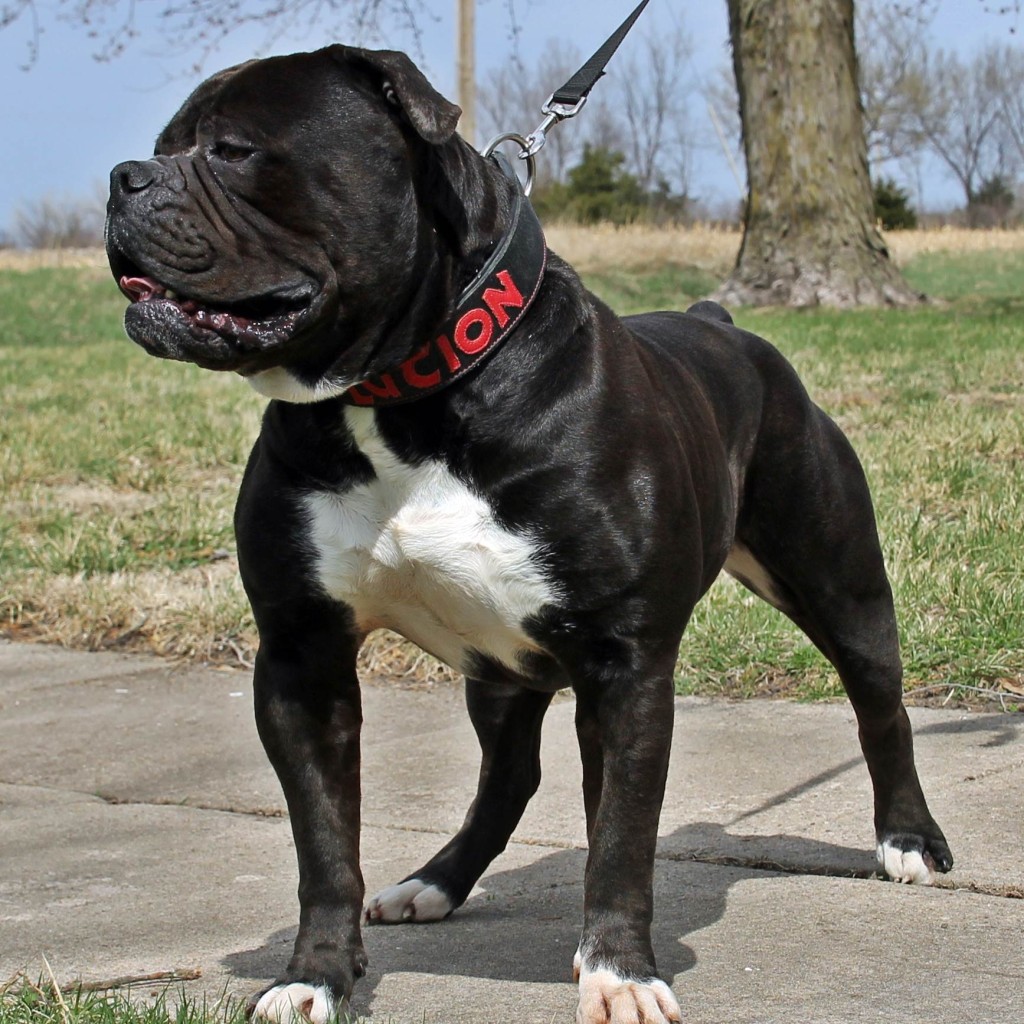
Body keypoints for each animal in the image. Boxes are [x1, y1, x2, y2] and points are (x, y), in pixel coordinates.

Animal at [103, 41, 950, 1024]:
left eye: (235, 151)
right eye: (166, 144)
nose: (123, 177)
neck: (401, 396)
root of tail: (721, 324)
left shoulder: (624, 667)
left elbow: (620, 838)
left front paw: (620, 973)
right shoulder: (301, 656)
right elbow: (324, 844)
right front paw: (313, 976)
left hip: (837, 582)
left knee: (880, 704)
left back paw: (909, 840)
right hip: (499, 668)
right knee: (507, 776)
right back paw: (434, 882)